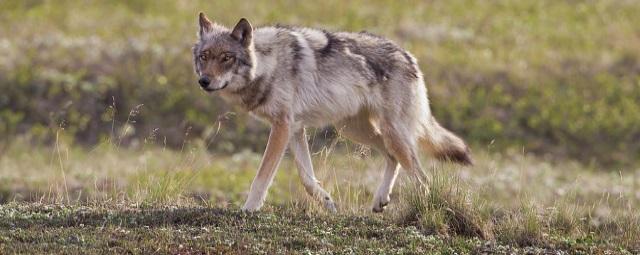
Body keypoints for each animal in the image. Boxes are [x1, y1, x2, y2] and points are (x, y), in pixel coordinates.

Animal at [192, 12, 472, 213]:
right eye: (204, 56)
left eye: (226, 57)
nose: (204, 81)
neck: (268, 65)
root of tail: (409, 56)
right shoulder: (295, 129)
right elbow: (307, 179)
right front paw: (327, 202)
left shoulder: (282, 127)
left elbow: (261, 176)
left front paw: (249, 209)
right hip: (354, 131)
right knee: (393, 158)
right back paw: (380, 200)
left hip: (390, 133)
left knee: (421, 177)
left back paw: (423, 211)